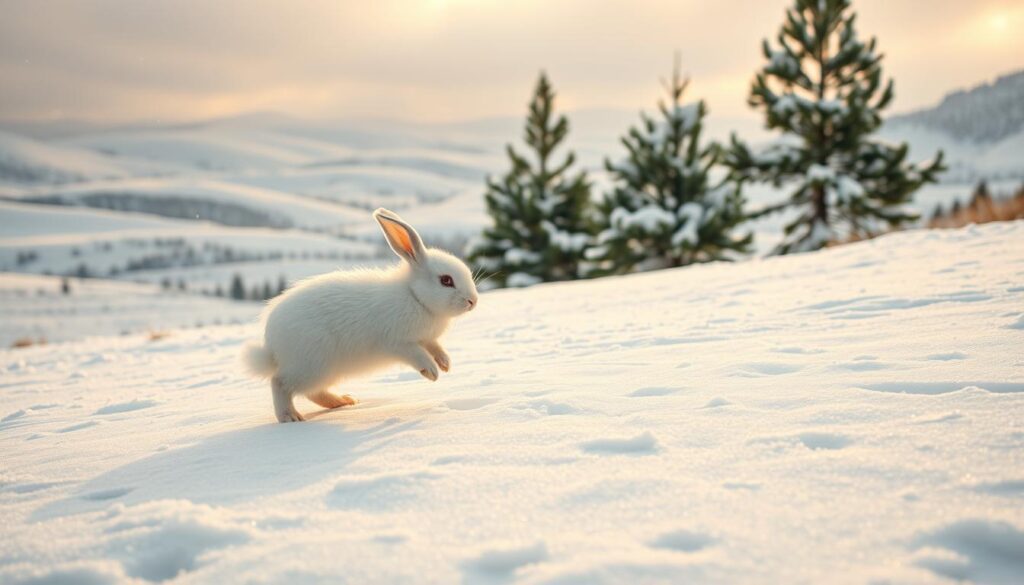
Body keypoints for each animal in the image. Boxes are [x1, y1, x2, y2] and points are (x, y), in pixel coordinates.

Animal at [242, 208, 479, 422]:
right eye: (446, 280)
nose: (473, 301)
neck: (414, 295)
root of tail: (272, 348)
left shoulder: (427, 338)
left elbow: (435, 347)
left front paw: (445, 364)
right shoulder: (397, 344)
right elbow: (418, 354)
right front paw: (431, 372)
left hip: (326, 371)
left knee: (313, 392)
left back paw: (344, 401)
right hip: (311, 364)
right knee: (279, 383)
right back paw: (290, 417)